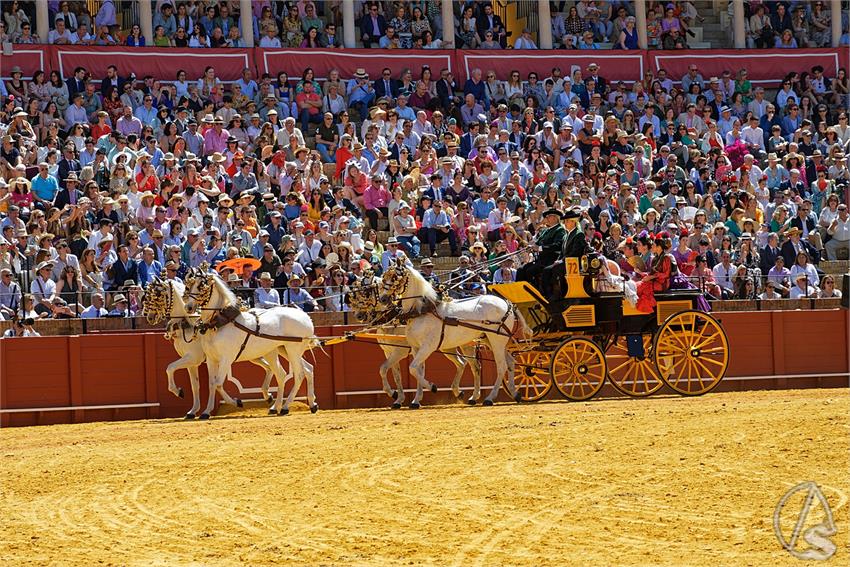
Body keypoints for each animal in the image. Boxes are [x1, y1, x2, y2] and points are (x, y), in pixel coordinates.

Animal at [182, 268, 318, 414]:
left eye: (201, 286)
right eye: (189, 285)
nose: (188, 307)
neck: (219, 324)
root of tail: (305, 316)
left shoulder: (226, 359)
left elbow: (218, 384)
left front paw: (237, 402)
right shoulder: (211, 359)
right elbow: (212, 384)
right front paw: (206, 412)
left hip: (293, 350)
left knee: (299, 374)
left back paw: (286, 406)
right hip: (282, 350)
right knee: (299, 371)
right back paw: (304, 405)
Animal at [380, 260, 528, 410]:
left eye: (394, 277)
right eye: (384, 276)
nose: (383, 299)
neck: (421, 310)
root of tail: (507, 303)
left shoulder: (426, 347)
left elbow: (412, 369)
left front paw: (432, 387)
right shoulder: (415, 348)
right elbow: (417, 370)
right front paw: (416, 400)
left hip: (497, 340)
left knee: (501, 366)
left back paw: (490, 398)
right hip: (490, 339)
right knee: (509, 362)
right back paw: (514, 394)